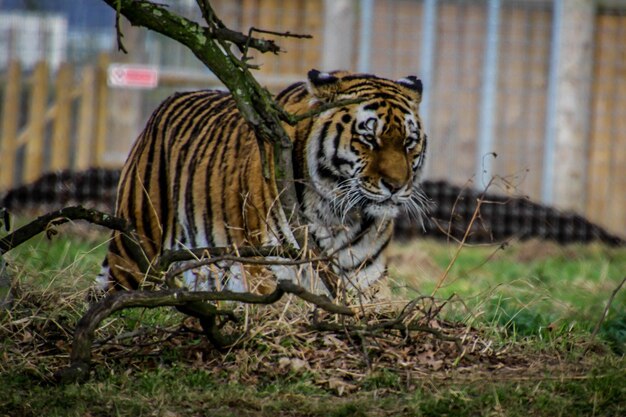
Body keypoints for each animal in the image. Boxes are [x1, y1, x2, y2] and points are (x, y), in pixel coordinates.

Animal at [96, 69, 428, 296]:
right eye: (369, 139)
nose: (396, 186)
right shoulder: (265, 268)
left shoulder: (364, 277)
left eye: (409, 142)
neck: (338, 217)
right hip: (136, 252)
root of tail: (168, 101)